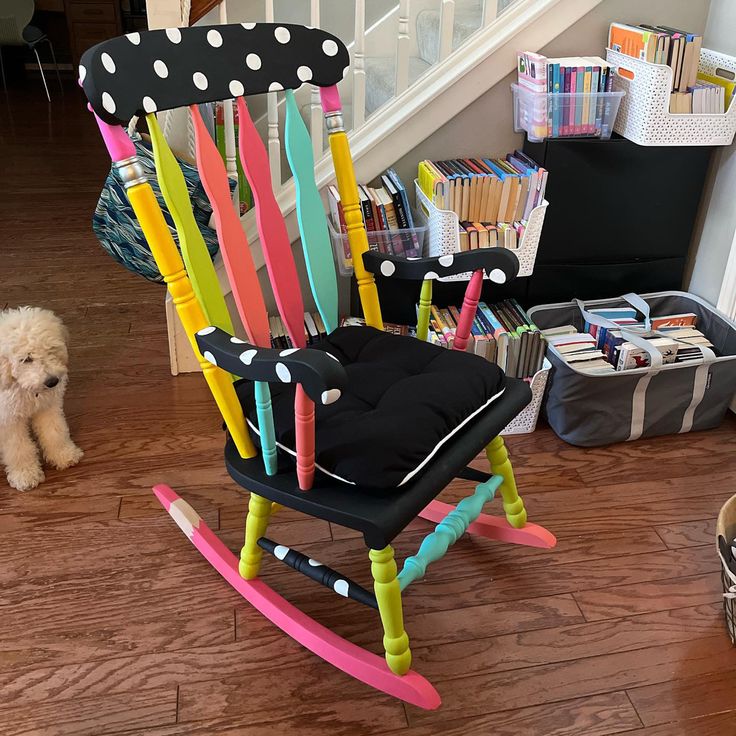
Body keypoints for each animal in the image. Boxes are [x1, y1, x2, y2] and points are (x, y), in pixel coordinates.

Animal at [0, 304, 83, 488]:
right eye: (26, 359)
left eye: (51, 349)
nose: (52, 381)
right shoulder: (8, 419)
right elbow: (18, 448)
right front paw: (25, 474)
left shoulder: (47, 407)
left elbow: (55, 431)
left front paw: (64, 455)